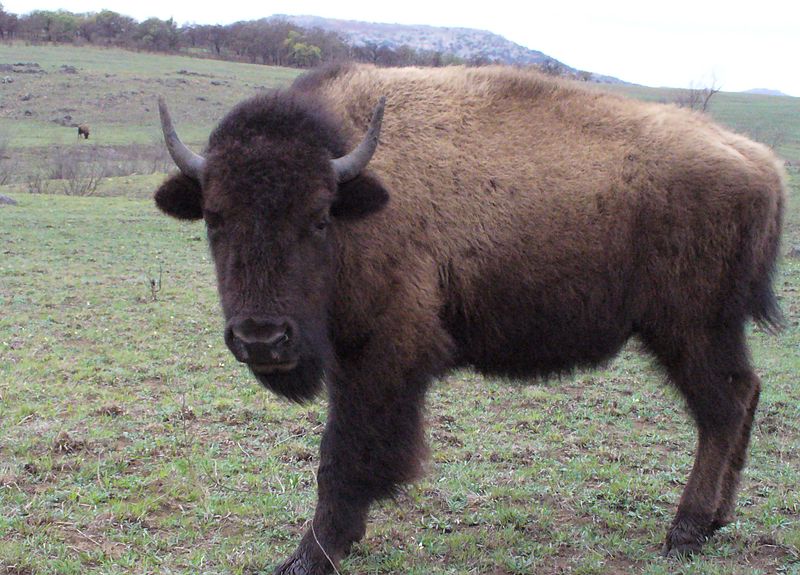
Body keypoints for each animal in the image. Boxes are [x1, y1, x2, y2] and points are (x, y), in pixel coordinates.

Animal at [153, 65, 784, 572]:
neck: (359, 192)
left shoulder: (381, 357)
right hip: (709, 332)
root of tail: (761, 163)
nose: (261, 337)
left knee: (721, 409)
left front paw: (312, 554)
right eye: (214, 217)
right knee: (745, 393)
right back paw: (716, 520)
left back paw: (686, 531)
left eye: (318, 217)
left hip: (689, 330)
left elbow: (344, 456)